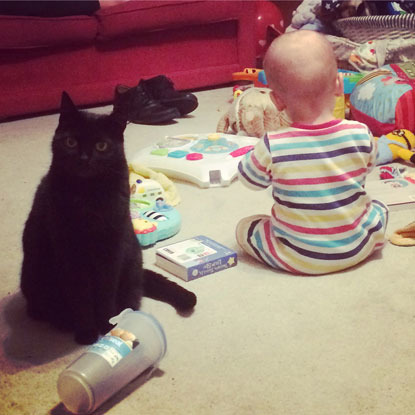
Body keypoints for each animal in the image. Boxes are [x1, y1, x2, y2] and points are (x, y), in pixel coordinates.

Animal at [21, 92, 198, 346]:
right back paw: (63, 321)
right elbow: (81, 297)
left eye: (101, 145)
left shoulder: (111, 250)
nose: (84, 158)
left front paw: (106, 326)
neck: (89, 197)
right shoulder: (70, 253)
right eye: (70, 142)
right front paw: (86, 333)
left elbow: (105, 293)